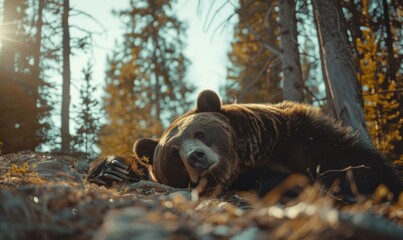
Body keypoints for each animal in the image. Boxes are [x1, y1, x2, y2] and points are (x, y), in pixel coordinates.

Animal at [89, 89, 403, 200]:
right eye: (174, 153)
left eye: (199, 133)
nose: (196, 157)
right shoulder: (250, 175)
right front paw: (111, 167)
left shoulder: (301, 136)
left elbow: (360, 164)